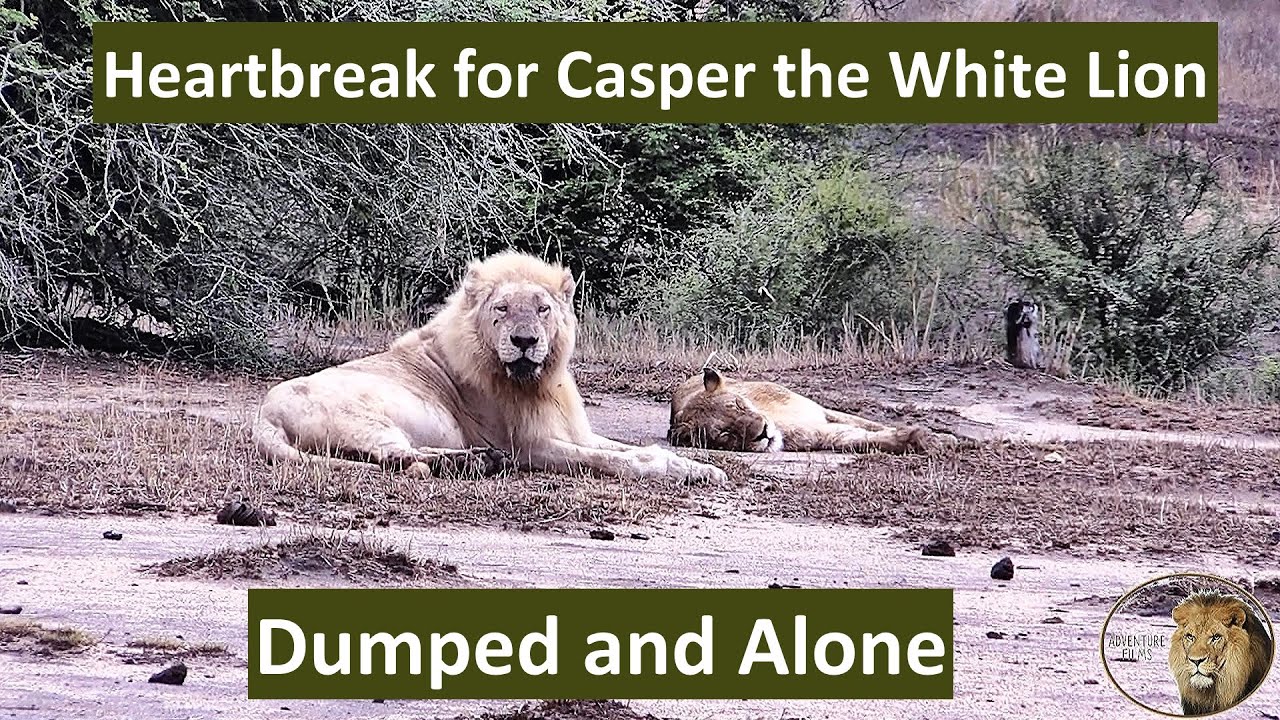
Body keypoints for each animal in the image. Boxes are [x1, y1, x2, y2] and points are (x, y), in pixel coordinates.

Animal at [252, 251, 727, 484]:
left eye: (542, 309)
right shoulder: (530, 446)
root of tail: (262, 417)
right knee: (400, 459)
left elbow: (627, 448)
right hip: (367, 419)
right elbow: (614, 461)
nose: (524, 342)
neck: (540, 381)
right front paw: (665, 470)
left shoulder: (572, 431)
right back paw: (475, 464)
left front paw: (699, 468)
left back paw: (479, 462)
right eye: (502, 309)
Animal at [667, 367, 934, 454]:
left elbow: (871, 425)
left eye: (739, 405)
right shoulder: (820, 434)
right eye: (725, 434)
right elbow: (862, 438)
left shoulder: (821, 412)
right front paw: (920, 439)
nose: (762, 431)